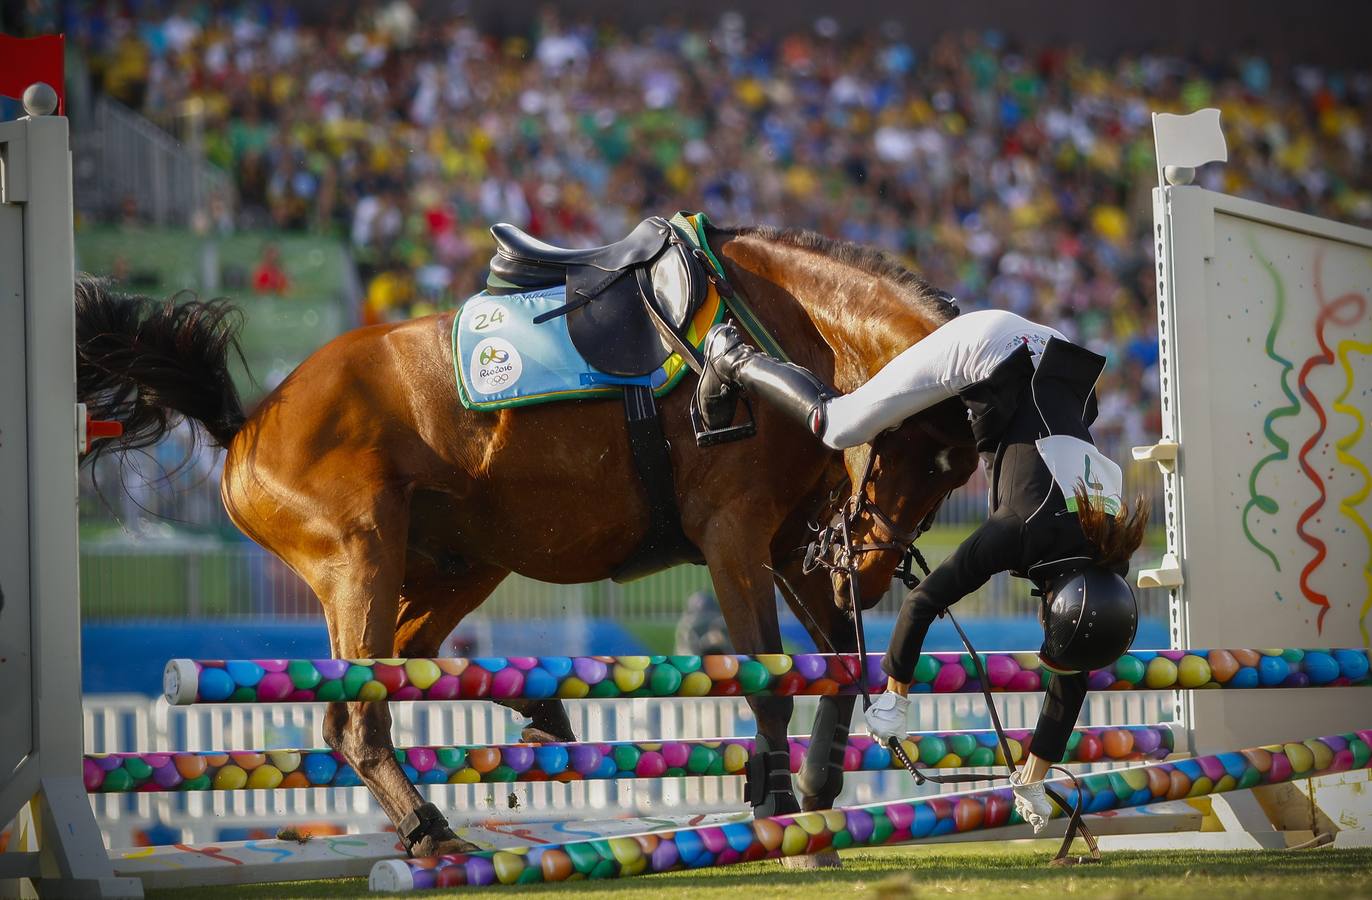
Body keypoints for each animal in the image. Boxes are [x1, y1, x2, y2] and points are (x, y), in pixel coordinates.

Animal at [72, 225, 976, 856]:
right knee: (358, 717)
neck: (783, 330)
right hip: (362, 557)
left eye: (959, 471)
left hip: (459, 564)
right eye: (912, 449)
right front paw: (779, 805)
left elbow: (842, 664)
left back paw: (536, 711)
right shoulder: (736, 537)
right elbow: (770, 681)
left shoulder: (790, 546)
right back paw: (431, 828)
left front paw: (816, 786)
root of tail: (250, 421)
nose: (872, 568)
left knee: (407, 668)